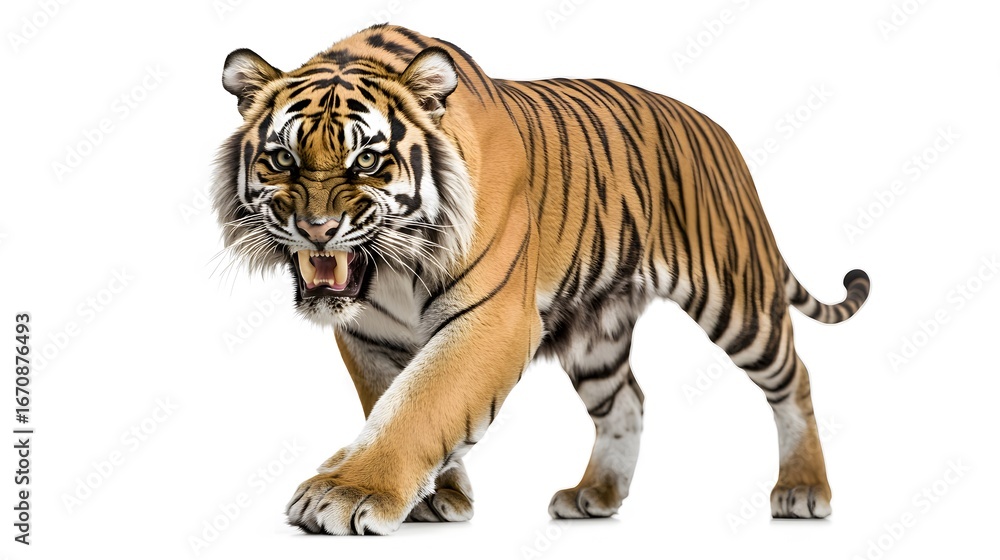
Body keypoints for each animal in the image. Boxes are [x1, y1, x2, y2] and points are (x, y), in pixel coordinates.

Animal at [212, 24, 870, 535]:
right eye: (282, 159)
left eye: (367, 161)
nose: (316, 229)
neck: (389, 271)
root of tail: (719, 132)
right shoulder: (367, 335)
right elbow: (389, 400)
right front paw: (437, 497)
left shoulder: (493, 318)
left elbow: (420, 402)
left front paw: (348, 492)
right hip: (596, 329)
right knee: (626, 401)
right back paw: (595, 496)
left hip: (737, 297)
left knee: (794, 378)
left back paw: (803, 490)